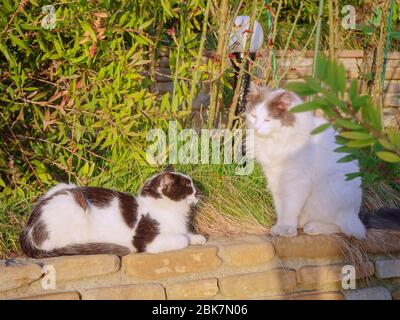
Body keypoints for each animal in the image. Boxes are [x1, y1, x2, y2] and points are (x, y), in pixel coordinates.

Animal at [19, 165, 206, 258]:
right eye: (188, 186)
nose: (198, 191)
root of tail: (27, 230)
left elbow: (187, 234)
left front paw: (198, 238)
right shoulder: (145, 240)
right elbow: (182, 238)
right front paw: (187, 239)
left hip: (64, 185)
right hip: (74, 205)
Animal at [245, 84, 368, 239]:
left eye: (268, 120)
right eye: (253, 116)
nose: (256, 128)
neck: (275, 141)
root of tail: (354, 211)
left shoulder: (297, 181)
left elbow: (290, 208)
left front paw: (287, 229)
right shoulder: (275, 178)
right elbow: (281, 208)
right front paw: (280, 227)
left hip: (330, 191)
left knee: (344, 227)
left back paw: (313, 227)